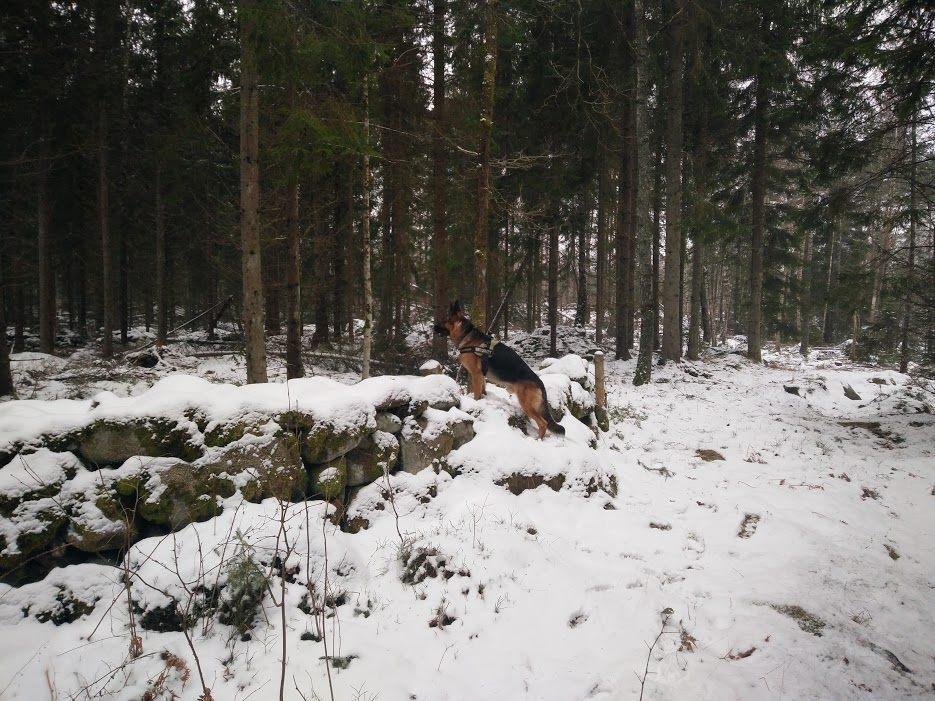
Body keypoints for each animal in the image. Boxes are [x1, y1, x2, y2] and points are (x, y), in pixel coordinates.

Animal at [432, 300, 564, 438]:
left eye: (444, 320)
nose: (433, 327)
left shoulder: (476, 374)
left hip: (526, 404)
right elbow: (483, 390)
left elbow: (477, 394)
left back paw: (538, 440)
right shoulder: (481, 376)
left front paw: (476, 403)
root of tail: (539, 382)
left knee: (543, 423)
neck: (467, 336)